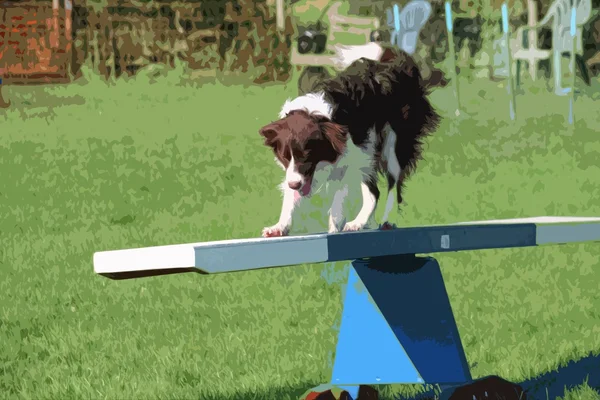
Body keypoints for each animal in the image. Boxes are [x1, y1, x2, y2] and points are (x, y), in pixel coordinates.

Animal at [258, 46, 440, 238]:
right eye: (284, 157)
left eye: (307, 155)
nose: (294, 184)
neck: (315, 114)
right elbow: (291, 196)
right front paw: (279, 226)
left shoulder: (354, 155)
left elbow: (341, 189)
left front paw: (335, 221)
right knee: (374, 191)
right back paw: (359, 222)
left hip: (393, 141)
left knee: (393, 180)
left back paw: (387, 220)